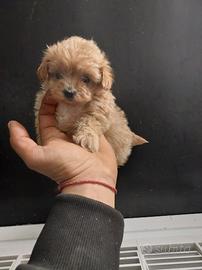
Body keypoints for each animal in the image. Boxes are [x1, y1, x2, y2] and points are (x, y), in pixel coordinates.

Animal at [34, 36, 148, 165]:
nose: (69, 92)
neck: (71, 105)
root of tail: (130, 136)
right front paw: (41, 140)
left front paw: (87, 137)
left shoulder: (101, 108)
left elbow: (91, 119)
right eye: (58, 75)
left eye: (86, 79)